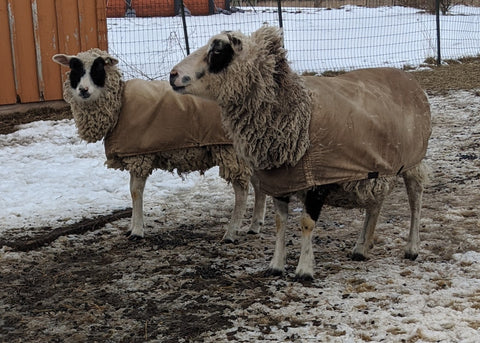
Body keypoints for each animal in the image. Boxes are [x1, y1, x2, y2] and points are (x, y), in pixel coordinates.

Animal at [54, 48, 268, 243]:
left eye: (98, 68)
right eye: (74, 68)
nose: (83, 90)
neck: (119, 105)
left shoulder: (140, 156)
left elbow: (135, 192)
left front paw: (137, 231)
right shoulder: (136, 154)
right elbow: (131, 190)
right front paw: (132, 227)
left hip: (231, 151)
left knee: (242, 190)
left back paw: (231, 233)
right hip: (247, 149)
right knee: (259, 184)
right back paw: (254, 225)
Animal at [171, 26, 434, 280]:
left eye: (218, 50)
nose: (173, 75)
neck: (296, 112)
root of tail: (410, 79)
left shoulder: (317, 181)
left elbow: (306, 223)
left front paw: (304, 270)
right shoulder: (281, 181)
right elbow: (280, 222)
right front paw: (276, 266)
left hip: (413, 160)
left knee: (416, 197)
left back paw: (412, 247)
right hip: (376, 167)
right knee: (375, 203)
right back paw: (362, 248)